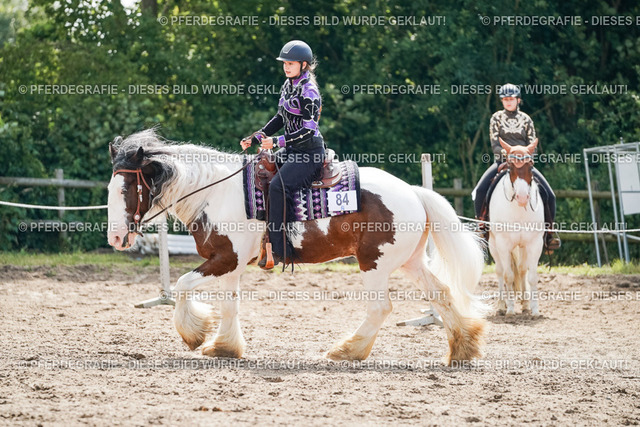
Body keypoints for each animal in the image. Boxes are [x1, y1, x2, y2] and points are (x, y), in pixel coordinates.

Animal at [106, 129, 489, 365]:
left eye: (126, 189)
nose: (115, 238)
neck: (215, 192)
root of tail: (414, 191)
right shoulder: (230, 263)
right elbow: (230, 305)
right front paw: (225, 346)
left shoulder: (225, 259)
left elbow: (184, 285)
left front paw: (194, 335)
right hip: (410, 261)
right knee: (441, 294)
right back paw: (463, 347)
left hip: (374, 264)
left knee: (381, 307)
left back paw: (347, 350)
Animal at [488, 137, 545, 316]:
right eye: (510, 166)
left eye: (531, 166)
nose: (522, 197)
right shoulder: (503, 244)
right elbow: (508, 276)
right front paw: (510, 309)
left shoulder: (534, 244)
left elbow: (531, 277)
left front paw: (535, 310)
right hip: (493, 245)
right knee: (500, 271)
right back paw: (501, 306)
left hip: (522, 246)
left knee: (521, 270)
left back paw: (525, 304)